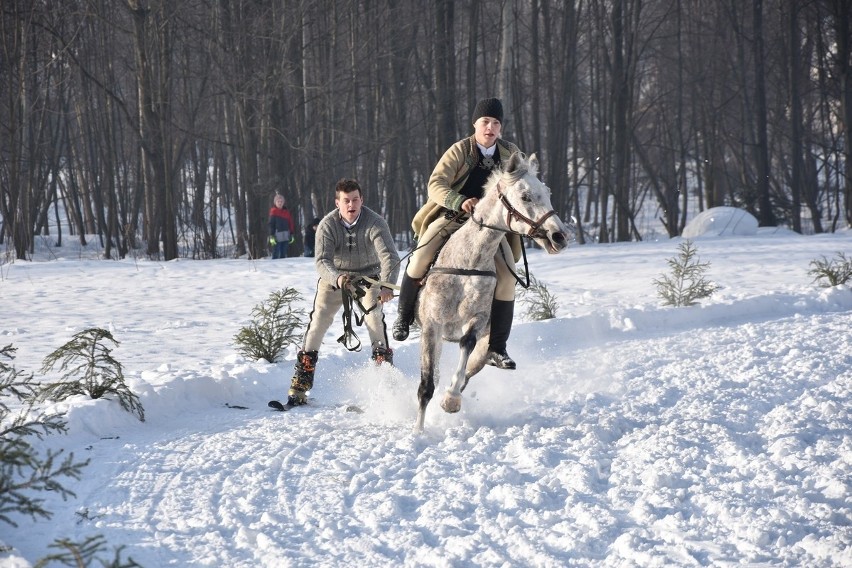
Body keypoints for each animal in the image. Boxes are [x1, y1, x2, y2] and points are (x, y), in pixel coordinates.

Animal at [414, 152, 568, 430]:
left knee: (467, 374)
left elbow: (466, 345)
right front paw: (417, 432)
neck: (469, 262)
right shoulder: (432, 326)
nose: (559, 236)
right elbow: (426, 386)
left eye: (547, 193)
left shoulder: (477, 321)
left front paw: (450, 400)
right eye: (525, 196)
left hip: (484, 349)